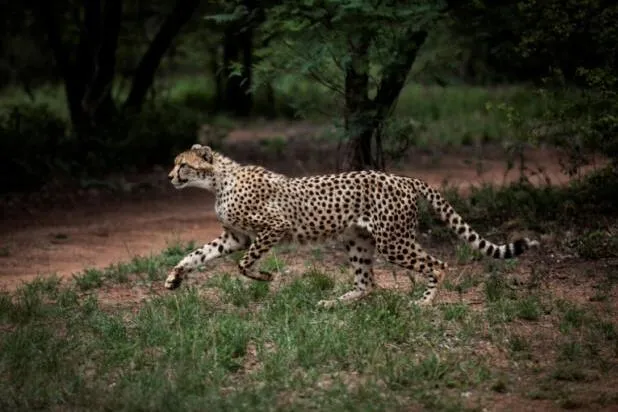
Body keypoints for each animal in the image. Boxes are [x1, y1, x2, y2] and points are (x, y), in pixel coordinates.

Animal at [166, 143, 536, 308]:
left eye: (183, 165)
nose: (169, 177)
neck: (217, 181)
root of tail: (405, 178)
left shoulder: (274, 227)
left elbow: (244, 264)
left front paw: (266, 276)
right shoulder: (236, 237)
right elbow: (197, 255)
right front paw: (174, 278)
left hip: (393, 242)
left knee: (438, 264)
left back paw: (424, 303)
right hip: (359, 241)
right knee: (367, 282)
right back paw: (335, 302)